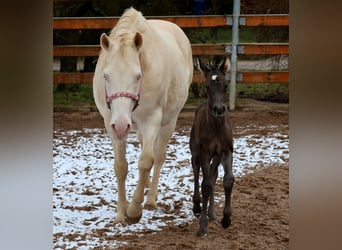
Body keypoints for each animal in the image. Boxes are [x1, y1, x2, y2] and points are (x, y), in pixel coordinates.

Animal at [92, 7, 192, 225]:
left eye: (138, 76)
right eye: (106, 76)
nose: (122, 125)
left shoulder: (151, 120)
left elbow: (147, 161)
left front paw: (134, 210)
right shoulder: (110, 122)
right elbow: (121, 167)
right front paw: (120, 214)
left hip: (169, 121)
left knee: (159, 156)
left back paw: (151, 198)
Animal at [190, 57, 235, 236]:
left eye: (225, 86)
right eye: (207, 87)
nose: (219, 109)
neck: (216, 128)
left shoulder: (226, 151)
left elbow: (227, 180)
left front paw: (226, 220)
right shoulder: (204, 153)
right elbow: (206, 185)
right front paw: (202, 226)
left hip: (216, 157)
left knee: (213, 174)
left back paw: (211, 212)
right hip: (195, 153)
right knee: (197, 174)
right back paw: (197, 206)